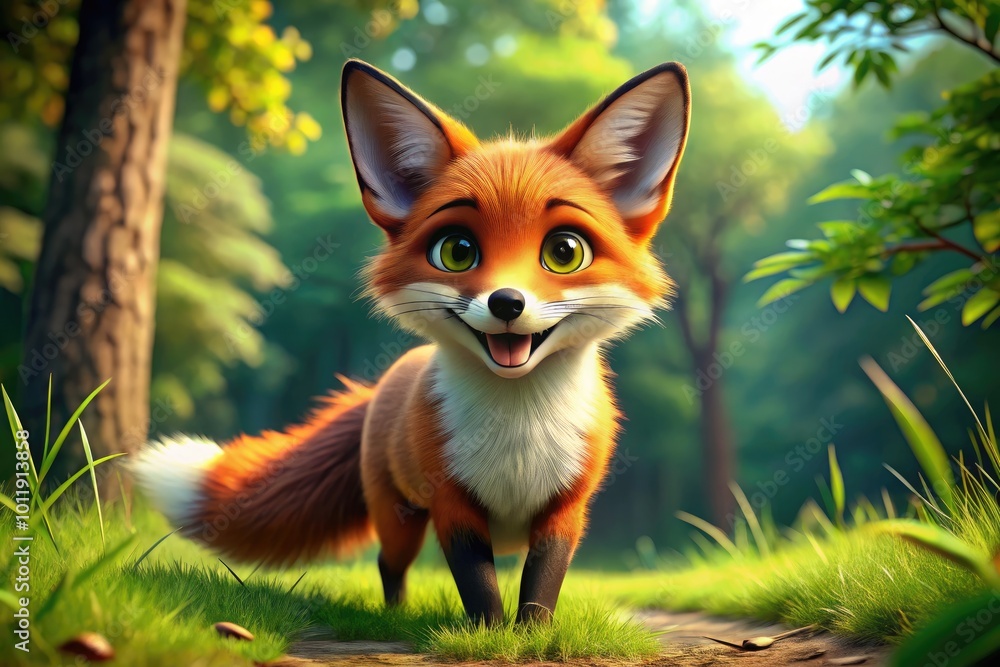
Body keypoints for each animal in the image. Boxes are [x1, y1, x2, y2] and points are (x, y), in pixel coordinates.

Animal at [131, 59, 690, 624]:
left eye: (565, 251)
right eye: (457, 250)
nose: (507, 303)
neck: (517, 431)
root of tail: (385, 382)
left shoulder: (565, 509)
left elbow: (541, 585)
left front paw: (534, 634)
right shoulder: (451, 504)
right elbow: (478, 585)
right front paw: (488, 634)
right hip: (398, 517)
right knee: (388, 562)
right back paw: (395, 615)